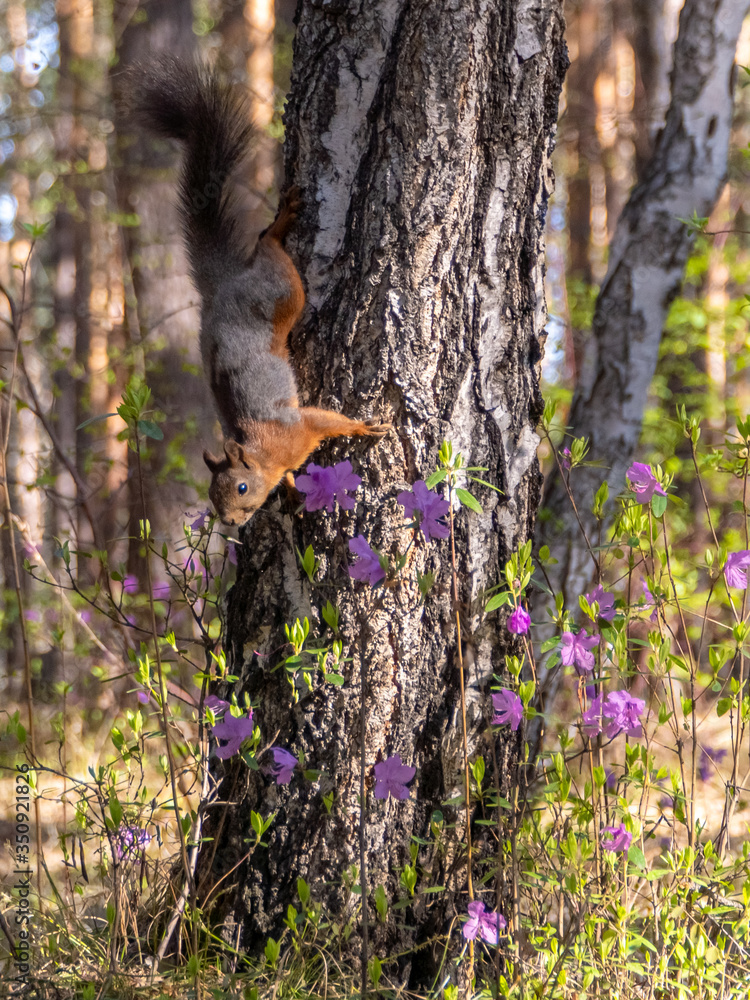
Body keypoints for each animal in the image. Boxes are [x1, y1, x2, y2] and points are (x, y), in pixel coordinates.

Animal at [128, 57, 390, 526]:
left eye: (242, 488)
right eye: (212, 497)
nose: (231, 522)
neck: (263, 454)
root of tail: (222, 288)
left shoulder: (298, 428)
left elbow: (328, 421)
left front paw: (364, 427)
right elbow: (290, 475)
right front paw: (290, 492)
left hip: (283, 293)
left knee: (267, 245)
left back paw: (280, 223)